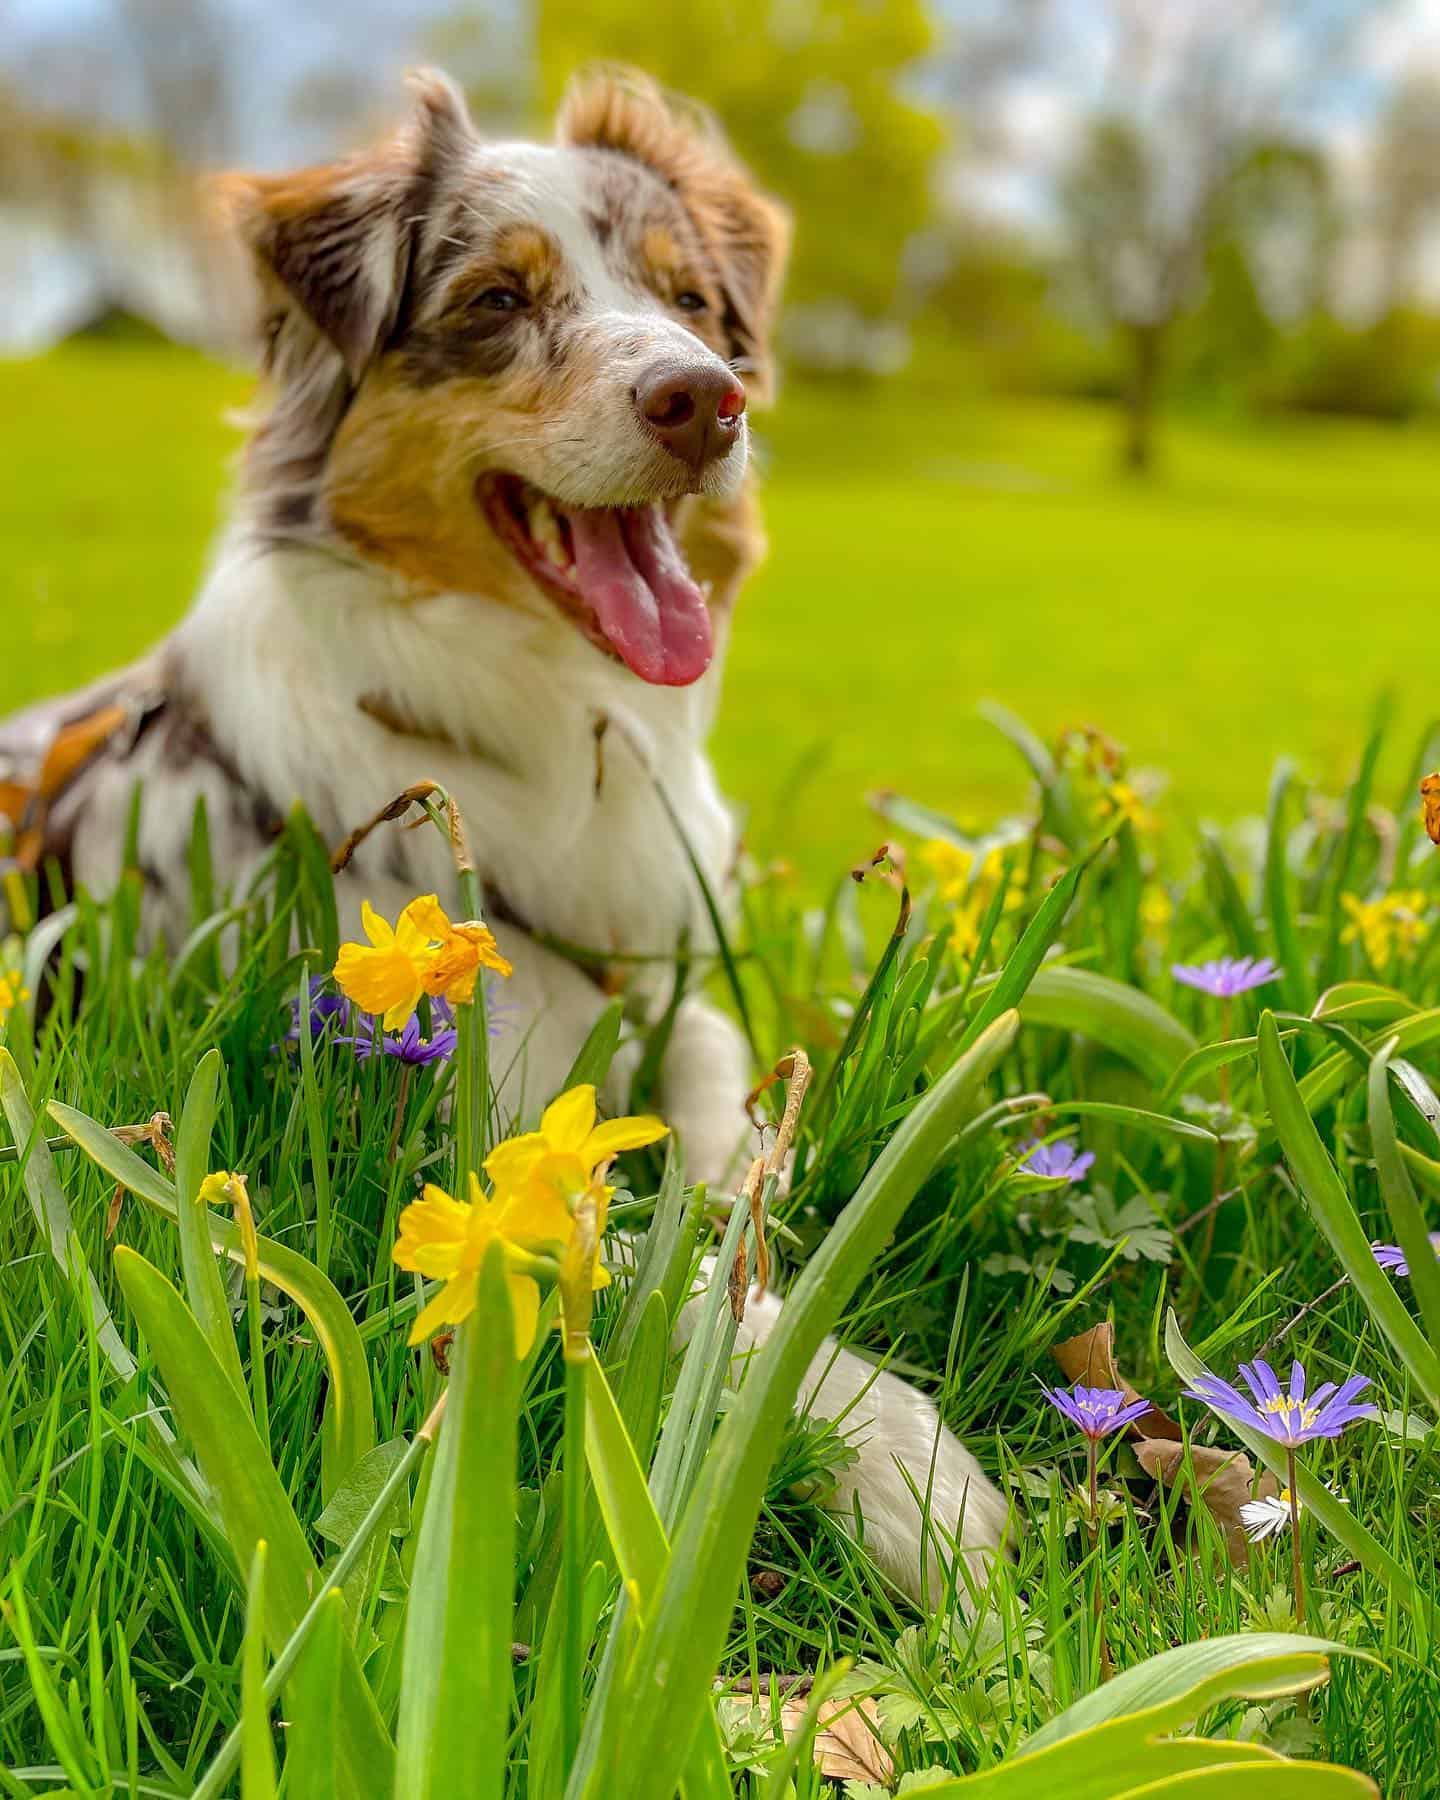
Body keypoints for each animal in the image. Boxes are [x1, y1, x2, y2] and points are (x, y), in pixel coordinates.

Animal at [0, 70, 1008, 1612]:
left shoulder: (660, 980)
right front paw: (912, 1477)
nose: (704, 399)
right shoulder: (444, 1112)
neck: (536, 715)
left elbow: (715, 1084)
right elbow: (675, 1275)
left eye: (692, 300)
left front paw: (755, 1174)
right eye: (492, 302)